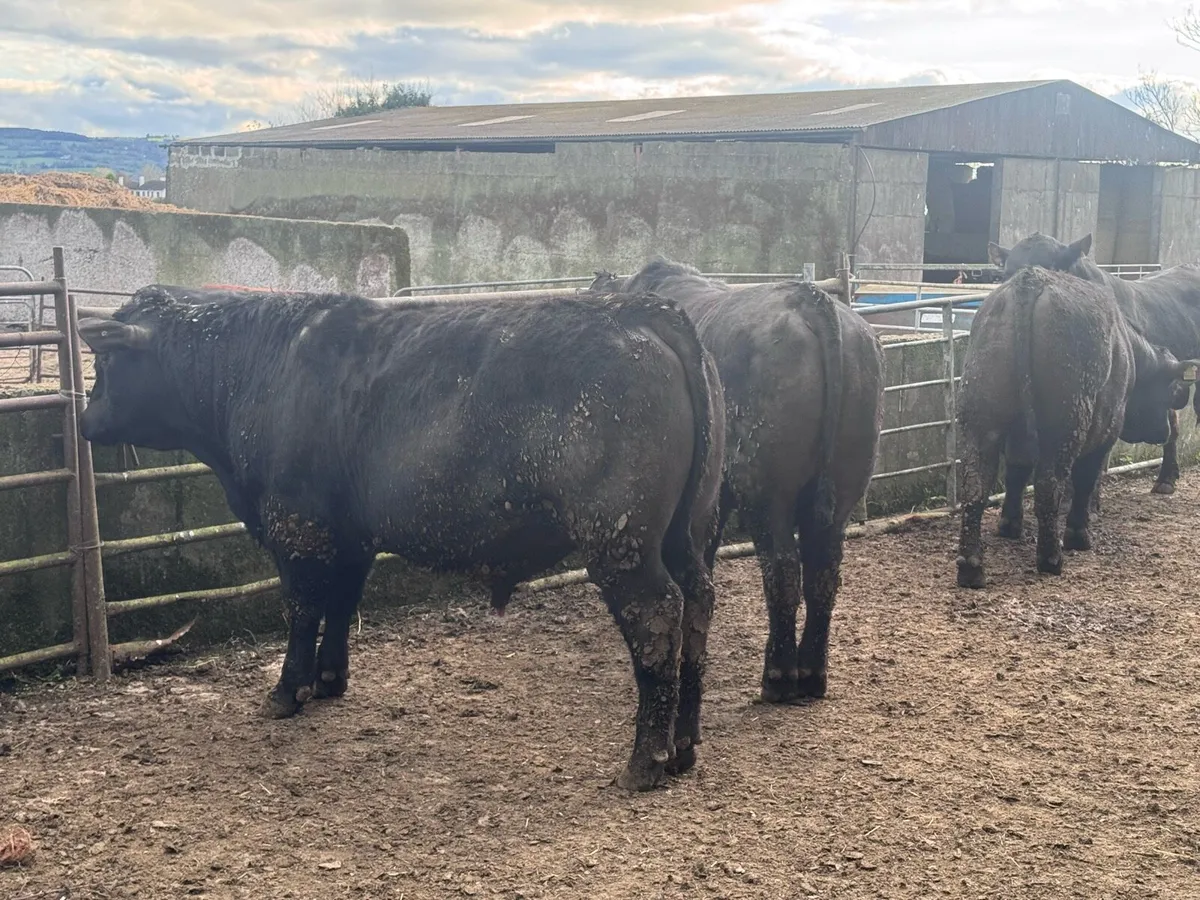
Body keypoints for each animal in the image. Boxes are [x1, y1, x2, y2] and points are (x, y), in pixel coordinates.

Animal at [76, 285, 726, 792]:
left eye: (105, 364)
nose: (83, 419)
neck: (260, 365)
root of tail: (641, 309)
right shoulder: (350, 534)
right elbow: (341, 603)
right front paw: (329, 681)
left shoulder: (295, 525)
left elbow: (302, 607)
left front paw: (287, 692)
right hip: (685, 535)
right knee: (697, 604)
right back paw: (685, 747)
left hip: (621, 541)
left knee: (657, 618)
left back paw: (644, 763)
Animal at [590, 259, 884, 704]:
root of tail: (812, 298)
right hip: (847, 481)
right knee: (823, 573)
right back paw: (813, 674)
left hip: (766, 489)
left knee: (782, 569)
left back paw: (778, 675)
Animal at [956, 266, 1196, 588]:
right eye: (1171, 391)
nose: (1164, 433)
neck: (1126, 346)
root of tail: (1029, 281)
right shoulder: (1107, 427)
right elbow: (1086, 478)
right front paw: (1079, 533)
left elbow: (1016, 474)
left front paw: (1009, 524)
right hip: (1066, 422)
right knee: (1049, 484)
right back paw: (1051, 558)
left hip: (981, 419)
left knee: (975, 487)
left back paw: (971, 567)